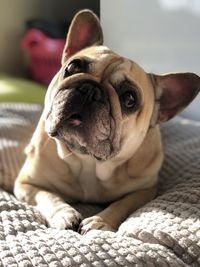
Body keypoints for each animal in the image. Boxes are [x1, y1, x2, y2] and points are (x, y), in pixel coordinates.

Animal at [13, 9, 198, 234]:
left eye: (129, 99)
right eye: (72, 66)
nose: (90, 89)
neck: (88, 161)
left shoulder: (145, 191)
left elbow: (122, 204)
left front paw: (100, 221)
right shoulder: (26, 184)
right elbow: (48, 196)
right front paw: (64, 214)